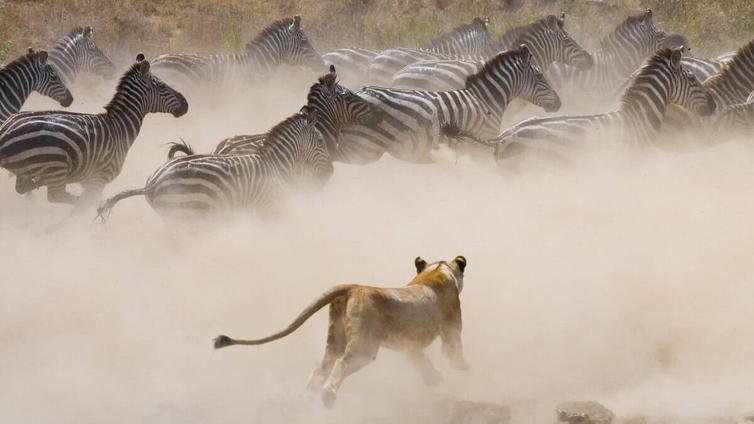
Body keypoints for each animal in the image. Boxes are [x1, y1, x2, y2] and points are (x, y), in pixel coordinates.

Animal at [0, 54, 188, 211]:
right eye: (161, 86)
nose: (186, 104)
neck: (120, 126)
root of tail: (6, 130)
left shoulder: (88, 180)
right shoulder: (100, 178)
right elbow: (86, 203)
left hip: (28, 170)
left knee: (23, 188)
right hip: (55, 165)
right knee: (57, 196)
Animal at [96, 109, 330, 221]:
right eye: (320, 141)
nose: (330, 173)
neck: (277, 164)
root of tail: (153, 183)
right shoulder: (269, 207)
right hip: (191, 213)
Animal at [214, 255, 469, 407]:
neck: (437, 271)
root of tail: (352, 287)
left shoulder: (409, 344)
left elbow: (421, 362)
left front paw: (436, 380)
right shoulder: (451, 327)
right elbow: (453, 351)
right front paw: (462, 367)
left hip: (335, 337)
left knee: (321, 367)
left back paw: (308, 397)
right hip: (365, 346)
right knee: (341, 363)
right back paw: (328, 396)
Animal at [336, 44, 562, 164]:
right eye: (540, 76)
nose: (559, 103)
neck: (486, 100)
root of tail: (359, 92)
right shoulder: (479, 147)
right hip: (364, 147)